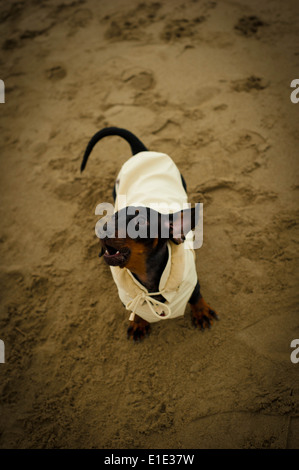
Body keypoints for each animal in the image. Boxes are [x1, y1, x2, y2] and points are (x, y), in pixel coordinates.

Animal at [81, 126, 219, 340]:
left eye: (141, 222)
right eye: (111, 218)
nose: (102, 229)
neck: (148, 281)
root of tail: (142, 152)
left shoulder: (191, 281)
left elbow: (196, 295)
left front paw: (202, 312)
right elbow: (136, 310)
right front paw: (138, 322)